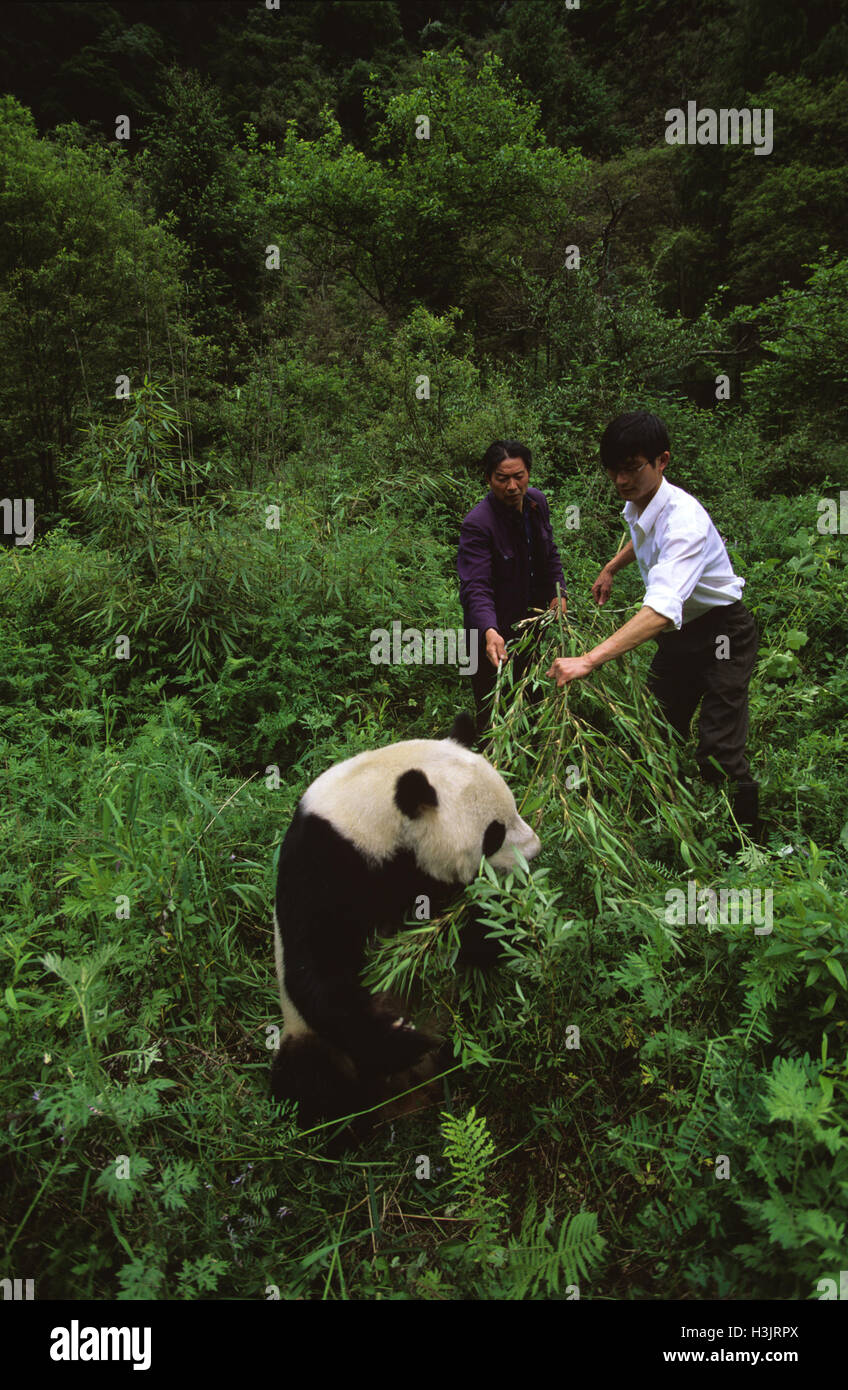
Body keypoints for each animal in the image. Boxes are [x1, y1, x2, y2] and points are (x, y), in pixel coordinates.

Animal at [270, 711, 541, 1130]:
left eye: (514, 809)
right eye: (494, 835)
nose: (534, 852)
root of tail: (402, 1095)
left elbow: (473, 939)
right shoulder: (322, 862)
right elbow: (315, 968)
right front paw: (400, 1037)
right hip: (312, 1040)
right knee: (307, 1078)